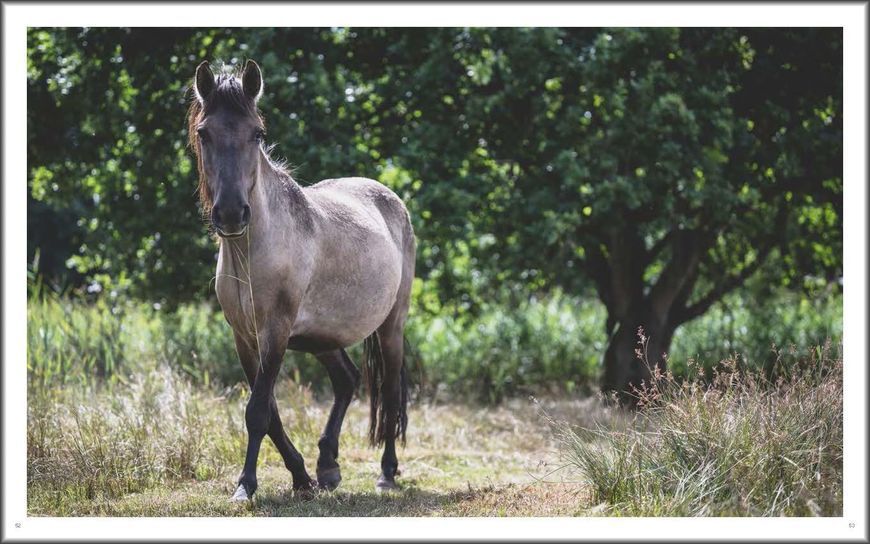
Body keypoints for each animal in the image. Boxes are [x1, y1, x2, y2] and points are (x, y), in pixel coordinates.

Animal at [187, 59, 416, 501]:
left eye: (257, 133)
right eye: (204, 132)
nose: (231, 213)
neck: (253, 251)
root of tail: (389, 197)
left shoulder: (275, 331)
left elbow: (258, 411)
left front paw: (246, 484)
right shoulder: (245, 337)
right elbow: (269, 411)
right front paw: (301, 476)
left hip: (391, 326)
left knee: (390, 393)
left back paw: (386, 472)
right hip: (323, 337)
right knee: (346, 380)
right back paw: (327, 466)